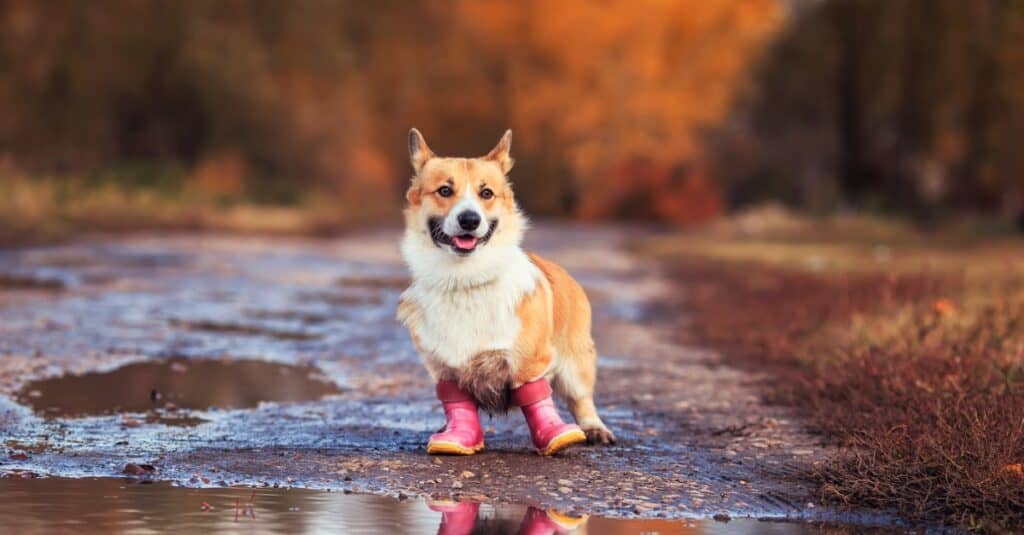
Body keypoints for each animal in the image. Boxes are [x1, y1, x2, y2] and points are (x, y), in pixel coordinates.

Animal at [395, 129, 610, 453]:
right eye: (445, 191)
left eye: (486, 194)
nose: (470, 220)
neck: (465, 280)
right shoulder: (445, 368)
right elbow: (458, 402)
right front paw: (458, 437)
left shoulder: (529, 363)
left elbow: (537, 397)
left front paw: (554, 436)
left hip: (576, 362)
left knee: (581, 398)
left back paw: (594, 429)